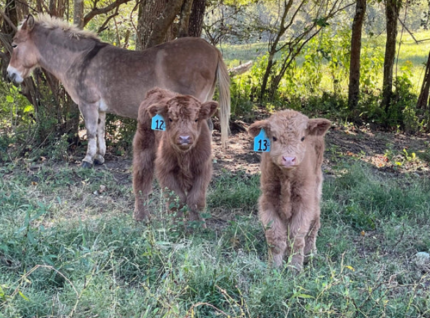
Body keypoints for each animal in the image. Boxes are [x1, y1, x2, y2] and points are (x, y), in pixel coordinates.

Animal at [132, 86, 218, 221]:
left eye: (196, 119)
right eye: (171, 119)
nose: (184, 138)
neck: (185, 157)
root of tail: (156, 90)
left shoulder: (203, 168)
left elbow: (195, 200)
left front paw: (197, 224)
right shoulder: (165, 169)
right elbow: (177, 199)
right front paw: (177, 224)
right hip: (143, 148)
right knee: (141, 179)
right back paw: (142, 216)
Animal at [247, 109, 330, 270]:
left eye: (302, 138)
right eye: (274, 137)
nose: (289, 159)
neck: (286, 180)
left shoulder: (304, 204)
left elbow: (296, 239)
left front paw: (295, 269)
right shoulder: (268, 202)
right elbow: (276, 239)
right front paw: (274, 268)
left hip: (316, 190)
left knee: (314, 223)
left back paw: (311, 253)